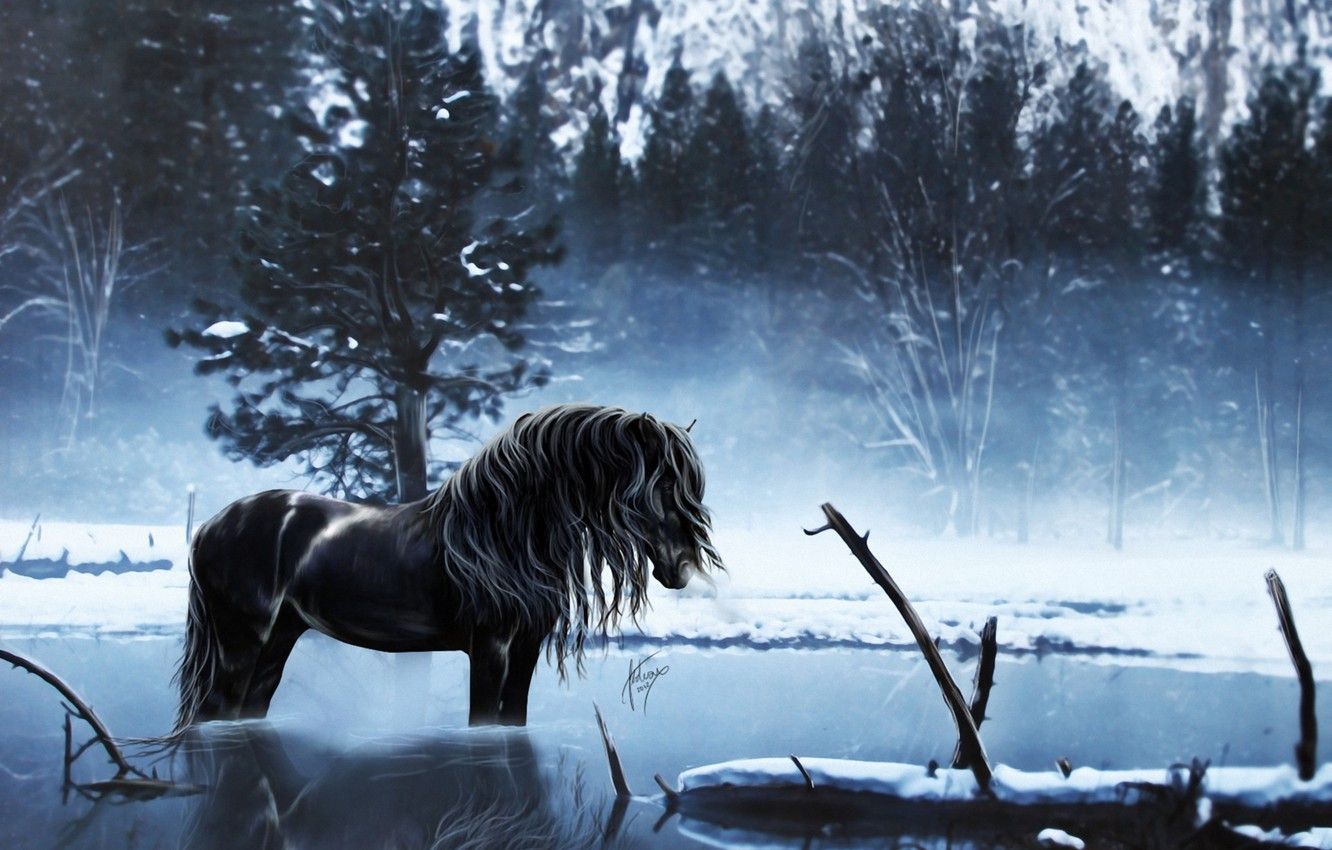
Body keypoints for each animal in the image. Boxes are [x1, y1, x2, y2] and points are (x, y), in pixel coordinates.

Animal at [173, 404, 721, 730]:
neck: (503, 533)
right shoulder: (491, 648)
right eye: (659, 485)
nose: (680, 569)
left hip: (278, 640)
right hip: (242, 642)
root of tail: (210, 526)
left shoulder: (526, 648)